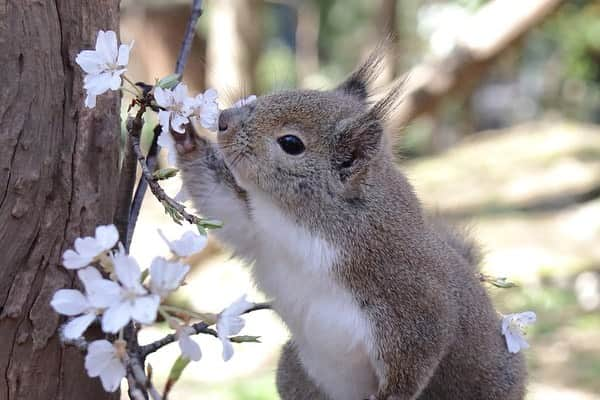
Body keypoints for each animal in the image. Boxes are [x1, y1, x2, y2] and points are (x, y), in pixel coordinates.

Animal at [173, 50, 524, 400]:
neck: (303, 228)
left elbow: (413, 361)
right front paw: (184, 136)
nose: (223, 120)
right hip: (293, 371)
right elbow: (220, 200)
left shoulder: (412, 300)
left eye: (291, 143)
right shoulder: (259, 234)